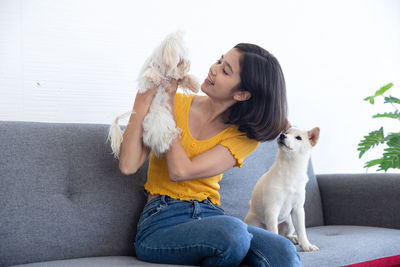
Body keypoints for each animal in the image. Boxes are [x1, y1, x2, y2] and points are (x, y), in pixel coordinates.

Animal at [107, 30, 199, 159]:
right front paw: (155, 76)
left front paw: (194, 84)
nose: (188, 63)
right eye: (181, 59)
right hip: (158, 119)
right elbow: (151, 73)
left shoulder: (174, 78)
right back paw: (173, 133)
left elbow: (183, 78)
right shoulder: (148, 78)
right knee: (163, 139)